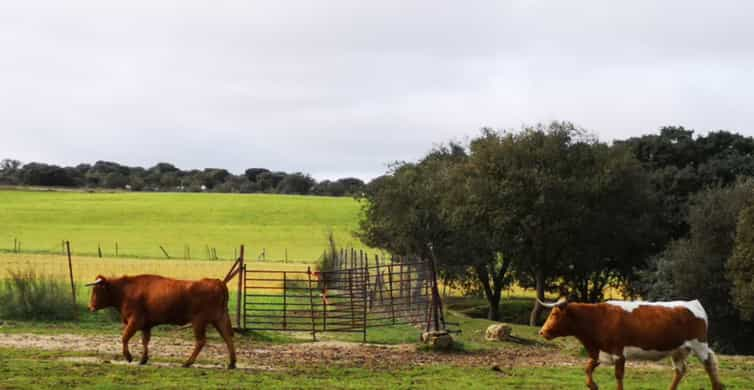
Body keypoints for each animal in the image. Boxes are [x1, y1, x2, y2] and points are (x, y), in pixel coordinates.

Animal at [86, 274, 236, 368]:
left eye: (96, 290)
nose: (90, 307)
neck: (126, 290)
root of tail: (217, 282)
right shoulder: (146, 325)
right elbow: (145, 341)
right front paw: (143, 359)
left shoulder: (135, 321)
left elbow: (125, 337)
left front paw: (128, 357)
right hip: (220, 319)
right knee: (228, 337)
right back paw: (232, 363)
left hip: (199, 322)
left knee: (201, 341)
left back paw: (187, 363)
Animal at [536, 298, 724, 388]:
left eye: (554, 314)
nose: (542, 332)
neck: (598, 318)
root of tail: (693, 303)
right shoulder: (600, 351)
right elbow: (588, 368)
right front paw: (593, 385)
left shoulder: (618, 353)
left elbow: (618, 376)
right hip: (678, 350)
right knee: (680, 370)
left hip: (699, 345)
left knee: (709, 366)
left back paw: (717, 386)